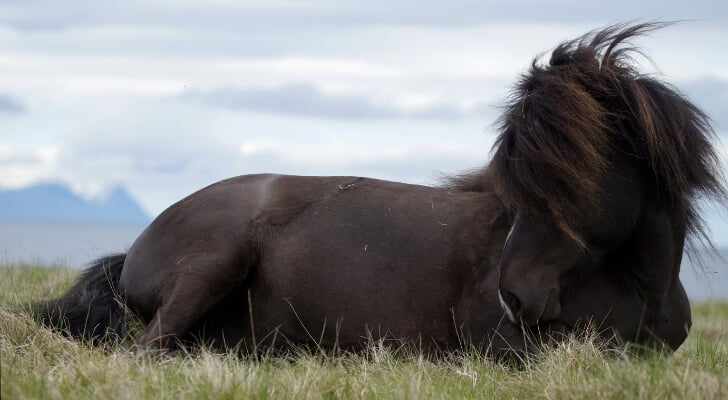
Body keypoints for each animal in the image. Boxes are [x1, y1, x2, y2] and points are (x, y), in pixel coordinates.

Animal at [37, 23, 724, 360]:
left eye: (567, 176)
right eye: (516, 182)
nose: (515, 298)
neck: (640, 288)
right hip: (212, 264)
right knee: (144, 353)